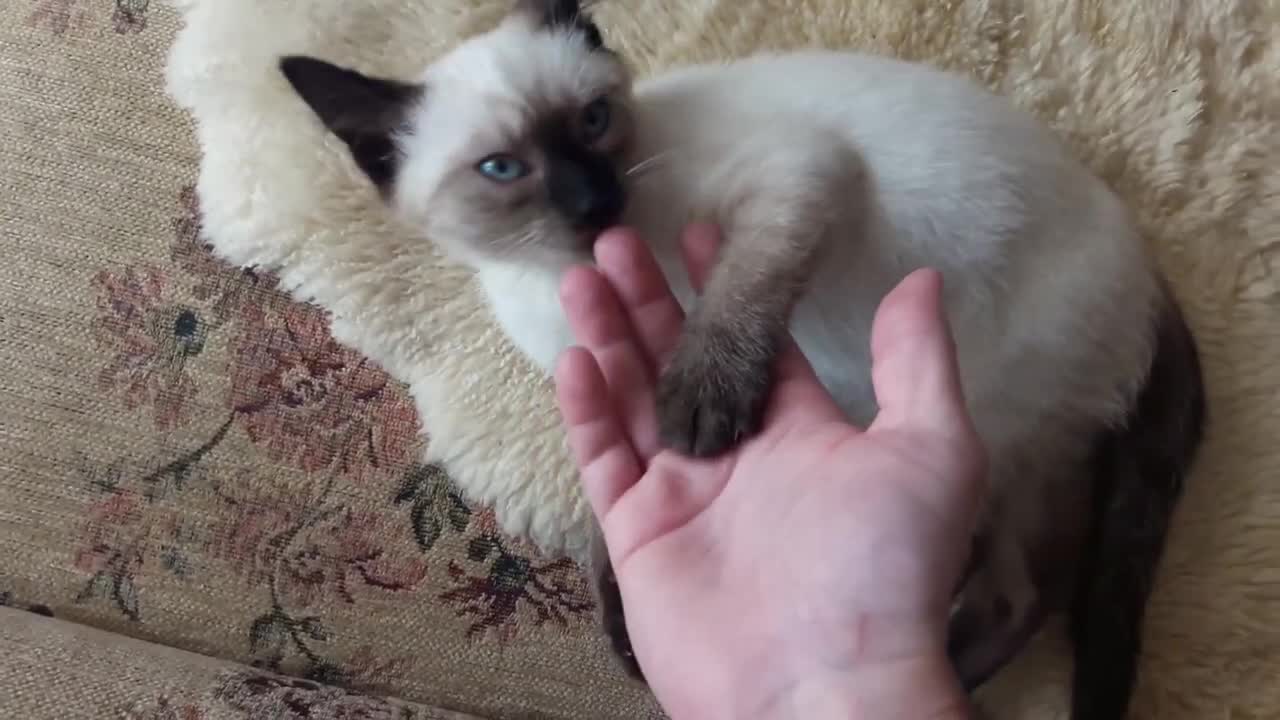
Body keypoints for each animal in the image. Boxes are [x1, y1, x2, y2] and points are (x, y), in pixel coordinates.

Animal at [277, 1, 1198, 717]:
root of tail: (1154, 273)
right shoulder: (606, 373)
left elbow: (735, 300)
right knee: (1017, 587)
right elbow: (614, 508)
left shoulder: (797, 172)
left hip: (981, 414)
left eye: (592, 121)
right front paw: (625, 622)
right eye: (503, 169)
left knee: (1022, 593)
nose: (595, 199)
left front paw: (701, 409)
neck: (570, 275)